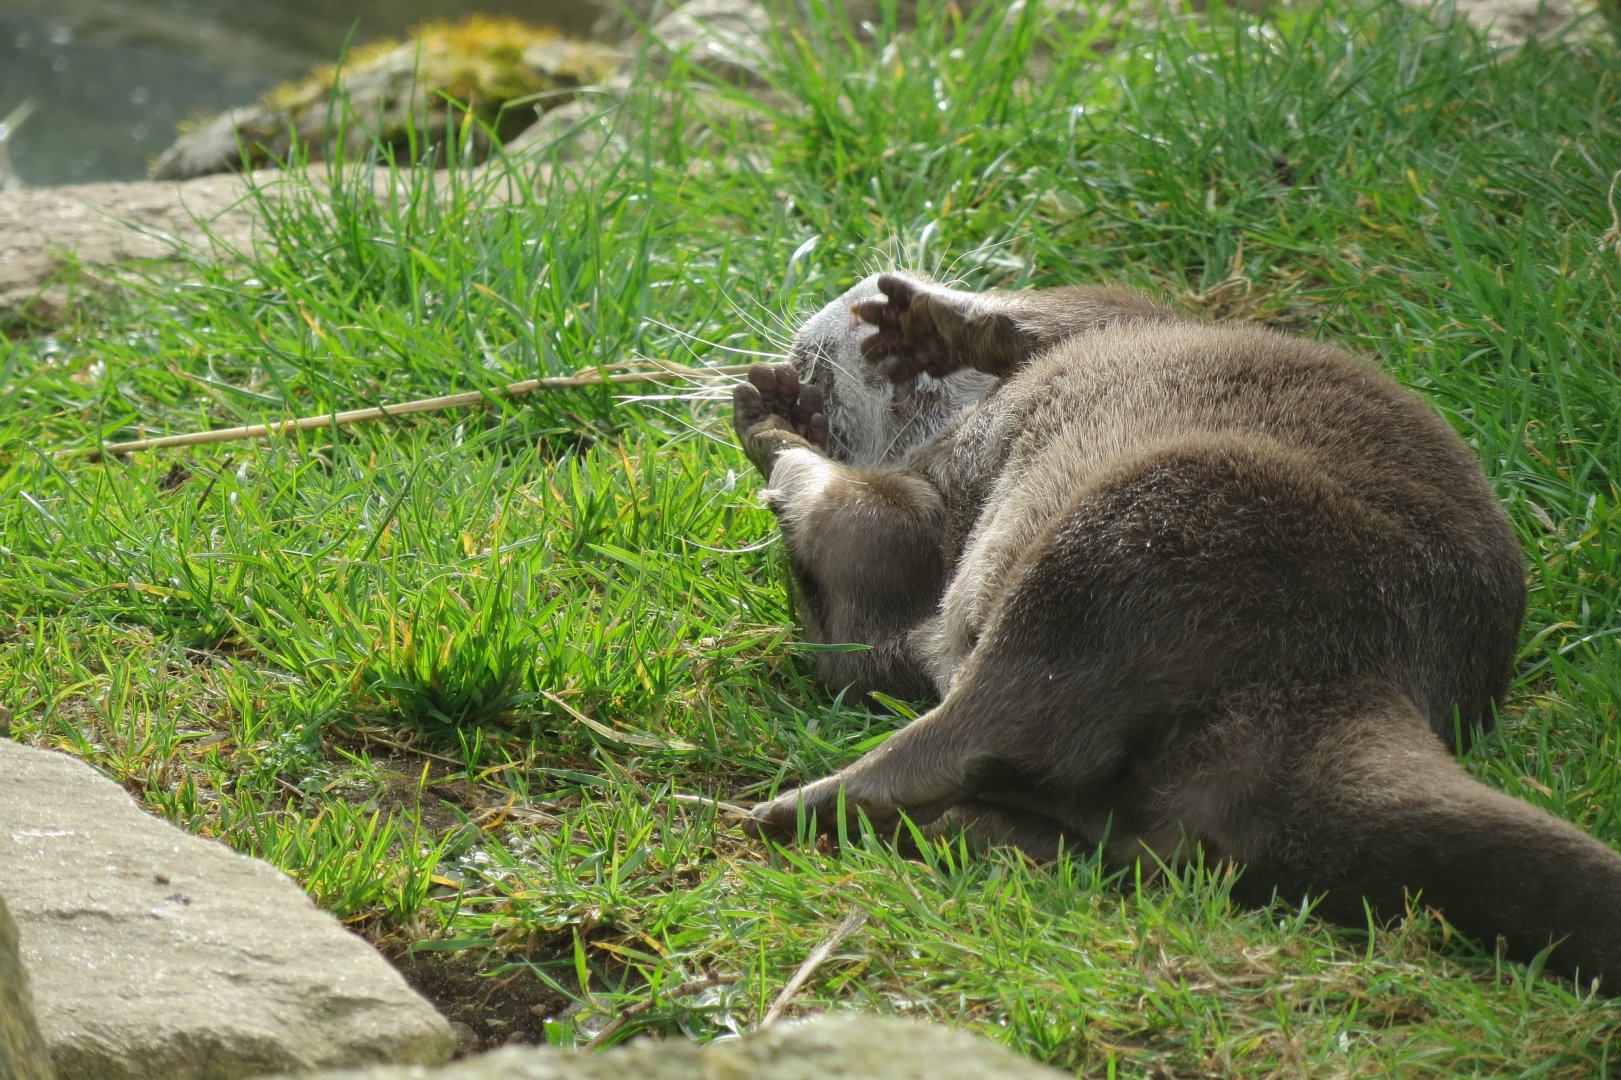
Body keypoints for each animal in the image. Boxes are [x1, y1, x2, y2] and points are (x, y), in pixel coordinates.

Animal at [731, 270, 1621, 989]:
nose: (809, 353)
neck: (959, 426)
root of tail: (1360, 674)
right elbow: (858, 607)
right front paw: (772, 418)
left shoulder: (1119, 317)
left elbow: (1050, 315)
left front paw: (918, 322)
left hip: (1145, 530)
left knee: (998, 717)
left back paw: (782, 810)